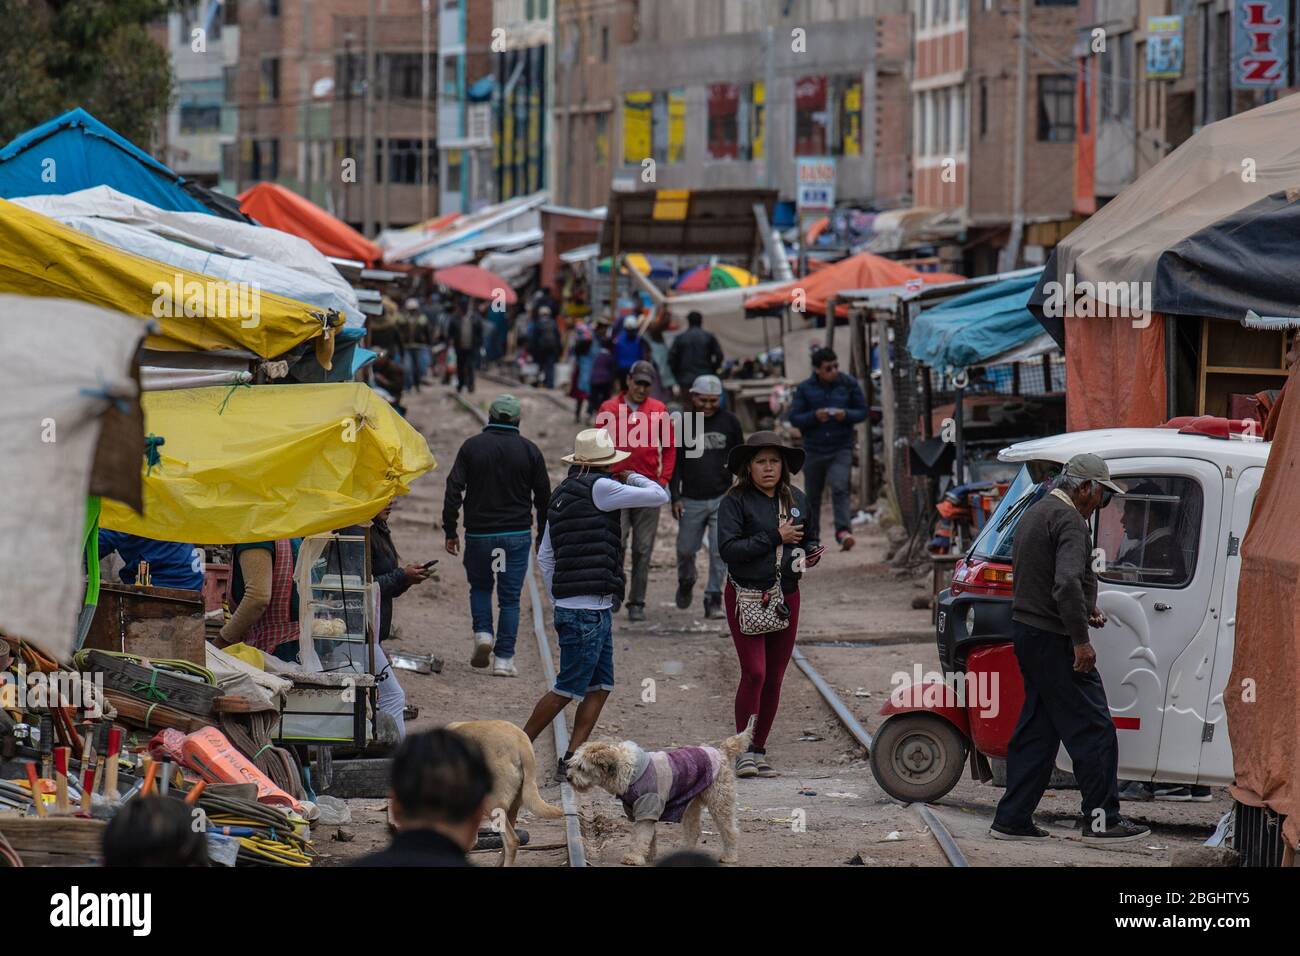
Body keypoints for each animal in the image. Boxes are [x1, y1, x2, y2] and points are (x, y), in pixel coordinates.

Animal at [566, 717, 759, 868]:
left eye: (581, 767)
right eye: (572, 764)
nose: (568, 777)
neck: (628, 770)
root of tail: (721, 751)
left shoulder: (647, 806)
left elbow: (640, 836)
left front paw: (633, 857)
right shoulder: (642, 812)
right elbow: (649, 837)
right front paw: (648, 855)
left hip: (720, 802)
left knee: (730, 830)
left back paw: (729, 856)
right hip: (689, 804)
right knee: (694, 830)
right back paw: (684, 852)